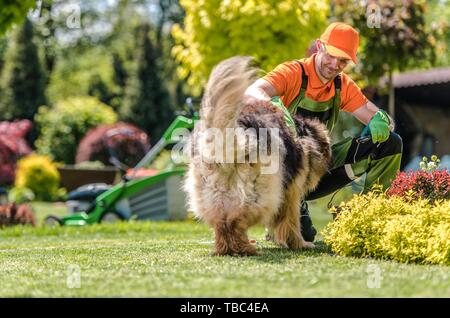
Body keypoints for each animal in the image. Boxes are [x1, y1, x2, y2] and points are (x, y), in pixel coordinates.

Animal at [183, 56, 330, 256]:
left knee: (221, 223)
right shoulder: (290, 193)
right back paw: (244, 247)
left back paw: (224, 247)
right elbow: (291, 221)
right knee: (236, 221)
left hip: (212, 193)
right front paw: (299, 243)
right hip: (261, 194)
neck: (300, 134)